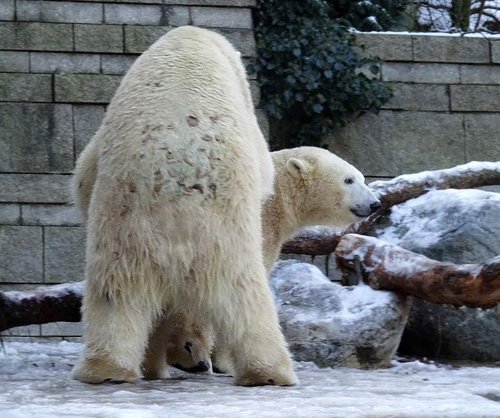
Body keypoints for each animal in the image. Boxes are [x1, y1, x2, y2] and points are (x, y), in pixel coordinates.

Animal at [70, 24, 296, 386]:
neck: (190, 43)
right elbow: (264, 168)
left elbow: (84, 175)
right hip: (225, 239)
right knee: (248, 298)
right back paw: (271, 371)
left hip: (125, 241)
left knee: (114, 299)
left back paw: (108, 369)